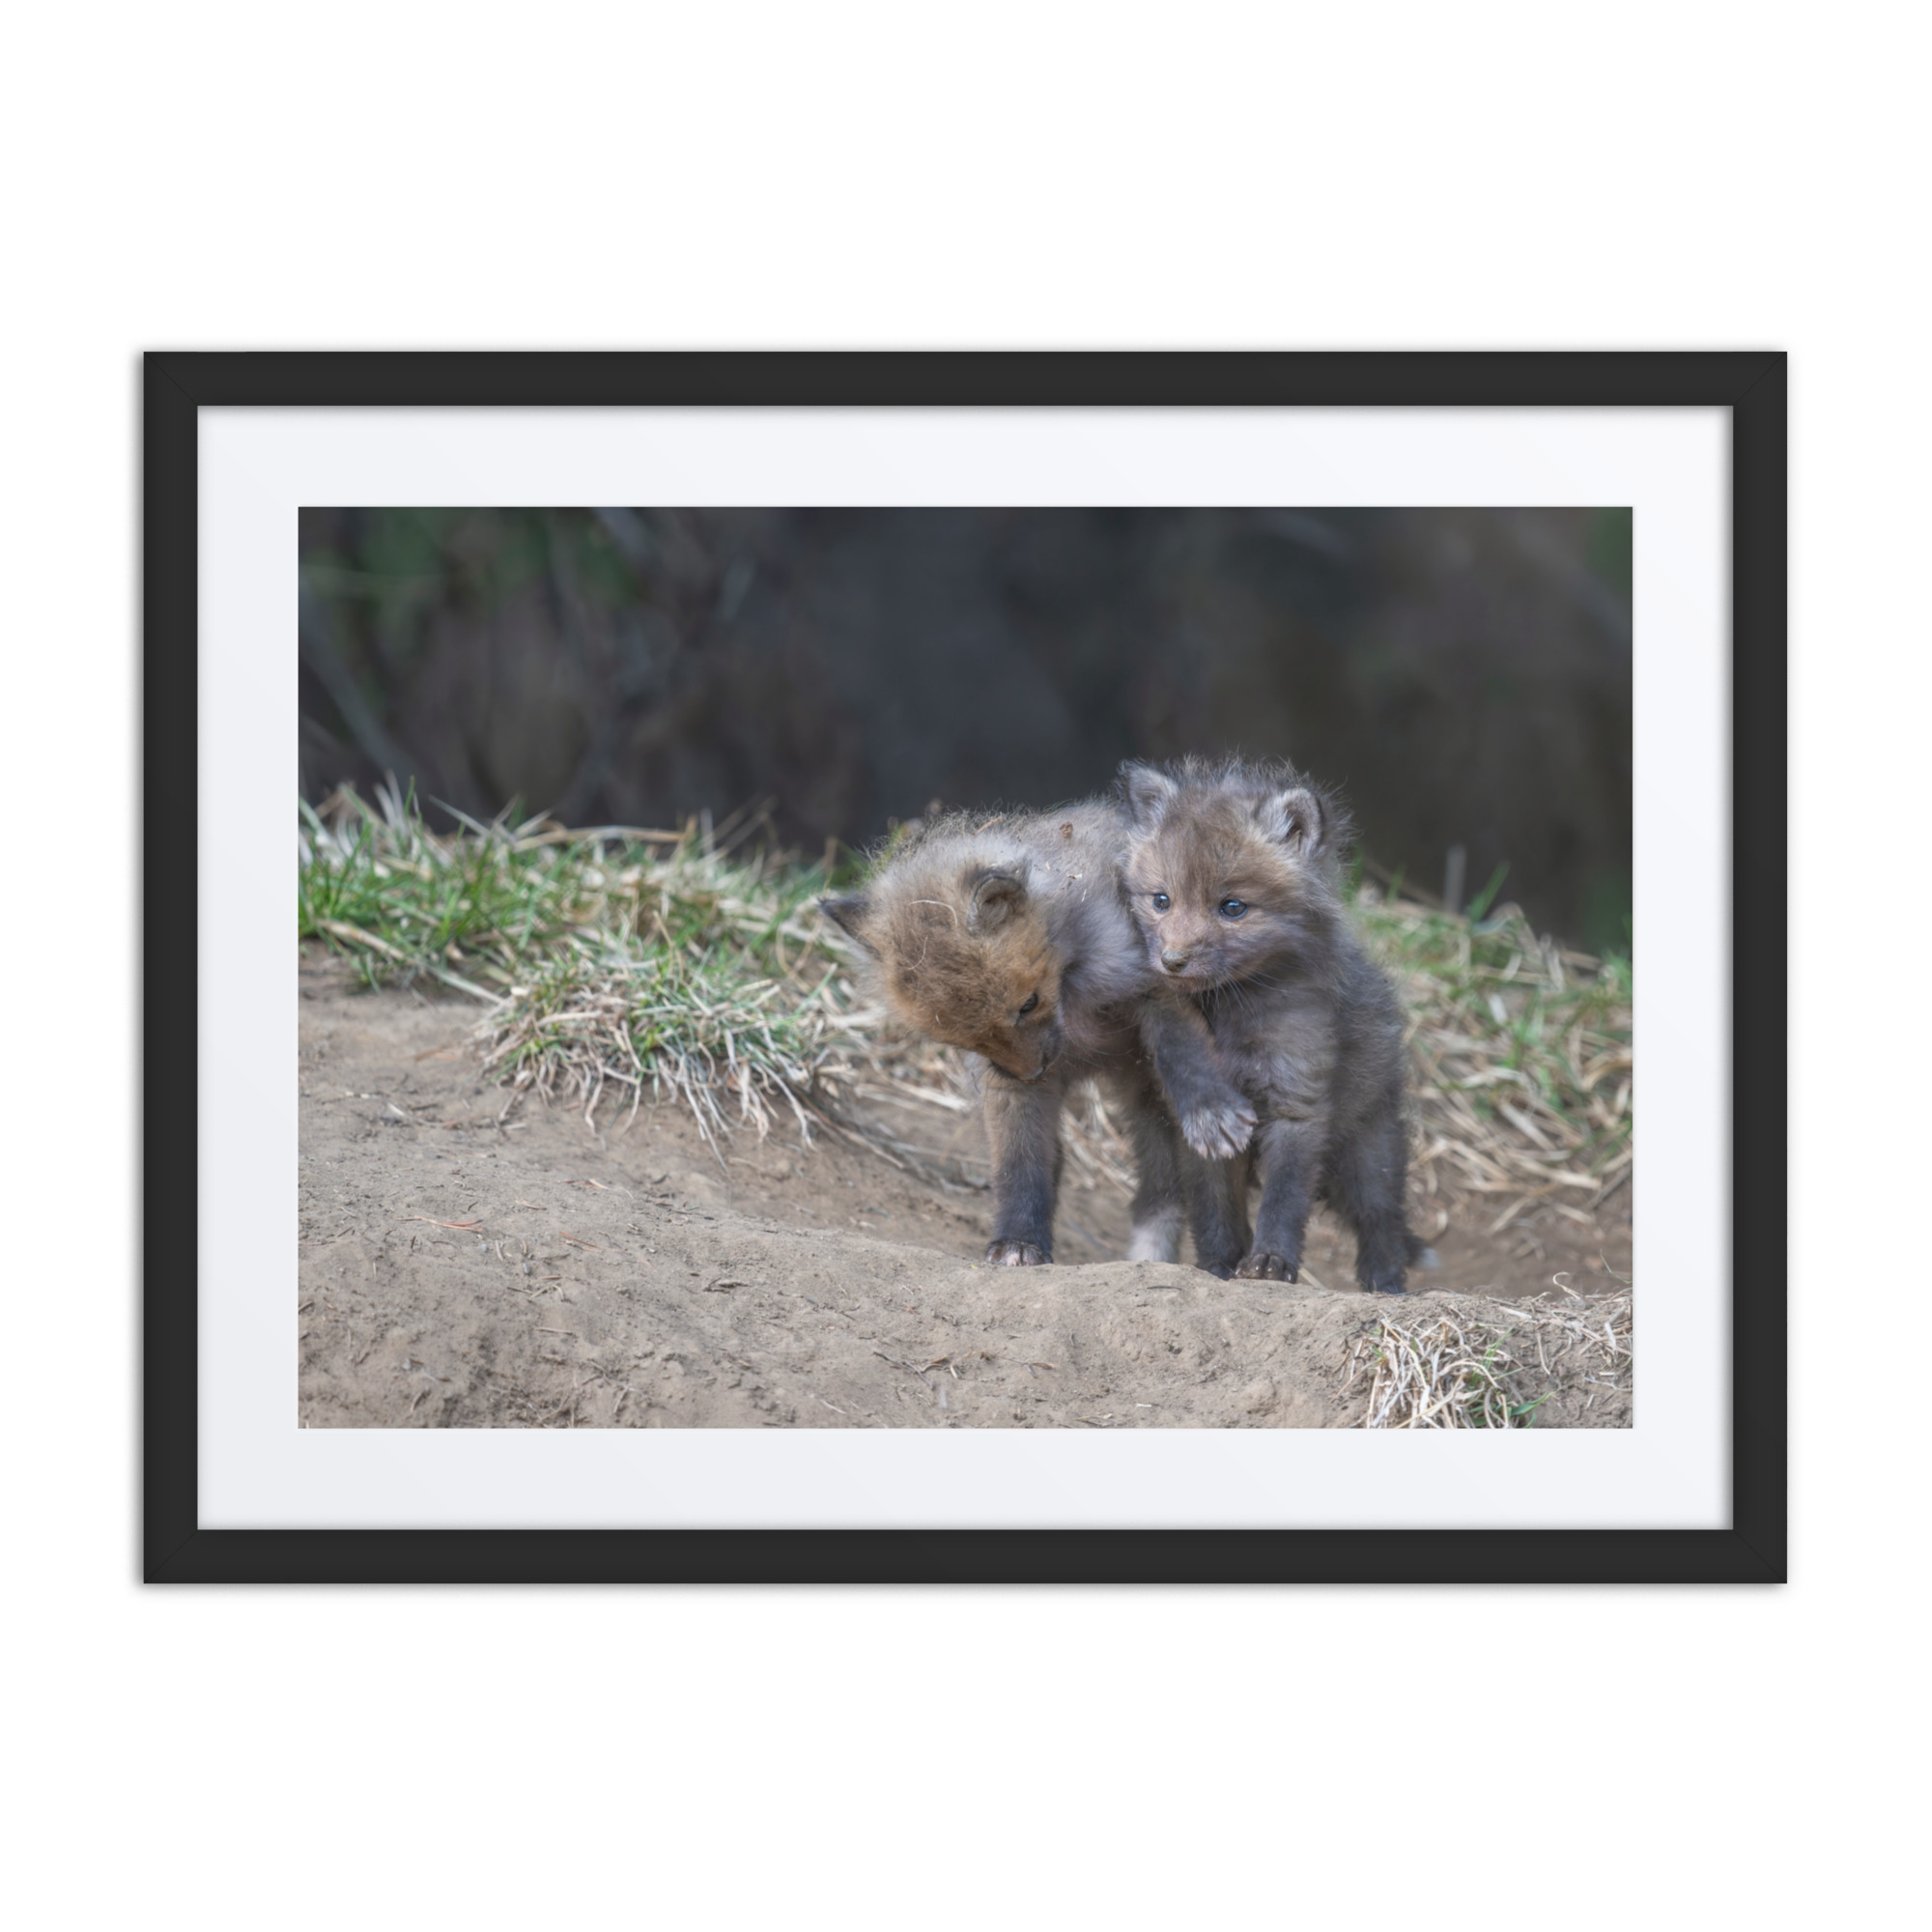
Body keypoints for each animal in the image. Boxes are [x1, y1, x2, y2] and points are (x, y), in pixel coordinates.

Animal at [821, 801, 1256, 1267]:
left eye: (1028, 1004)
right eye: (963, 1039)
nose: (1032, 1073)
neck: (1074, 998)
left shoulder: (1155, 983)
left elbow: (1183, 1053)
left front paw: (1209, 1110)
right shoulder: (1004, 1083)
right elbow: (1019, 1165)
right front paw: (1019, 1241)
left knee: (1208, 1194)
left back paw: (1221, 1264)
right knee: (1156, 1191)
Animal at [1118, 757, 1425, 1295]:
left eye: (1232, 907)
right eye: (1161, 901)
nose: (1172, 961)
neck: (1230, 1015)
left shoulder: (1297, 1102)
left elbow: (1284, 1199)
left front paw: (1270, 1263)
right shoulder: (1203, 1125)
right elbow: (1214, 1208)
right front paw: (1218, 1266)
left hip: (1369, 1150)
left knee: (1382, 1221)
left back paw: (1385, 1288)